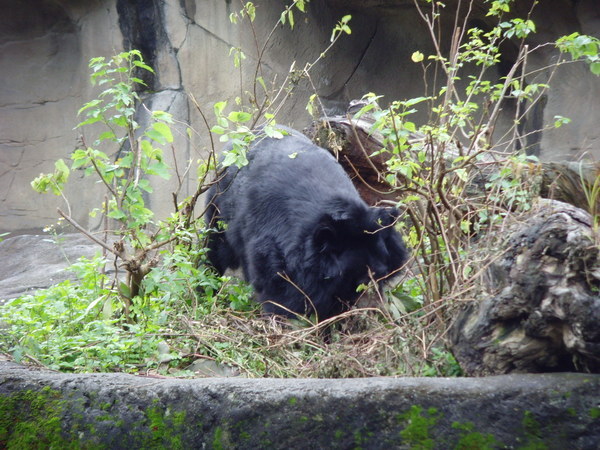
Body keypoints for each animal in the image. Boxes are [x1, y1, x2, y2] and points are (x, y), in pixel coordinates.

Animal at [205, 126, 408, 320]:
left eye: (382, 273)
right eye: (361, 279)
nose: (378, 308)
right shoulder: (272, 240)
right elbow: (279, 285)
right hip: (219, 206)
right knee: (216, 247)